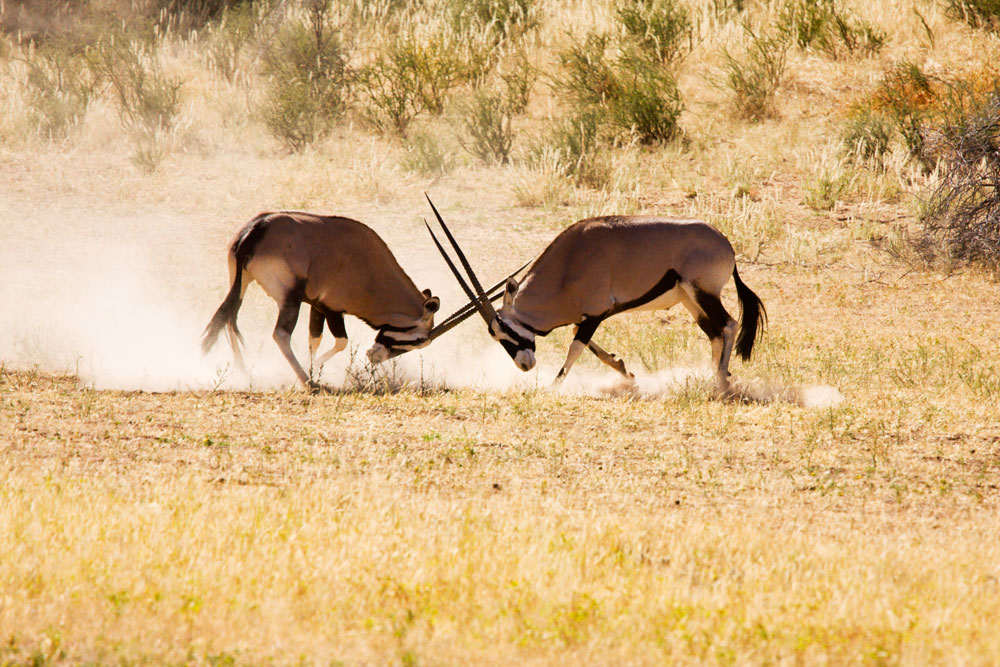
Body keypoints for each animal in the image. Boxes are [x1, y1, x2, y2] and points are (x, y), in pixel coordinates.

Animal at [201, 210, 494, 392]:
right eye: (419, 339)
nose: (375, 356)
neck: (368, 267)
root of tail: (256, 229)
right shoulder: (332, 307)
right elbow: (340, 342)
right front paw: (313, 373)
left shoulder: (316, 305)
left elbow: (314, 339)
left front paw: (313, 367)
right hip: (289, 298)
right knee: (280, 334)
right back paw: (310, 384)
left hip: (241, 284)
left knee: (230, 319)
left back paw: (243, 371)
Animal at [424, 196, 764, 394]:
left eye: (505, 330)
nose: (525, 365)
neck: (568, 263)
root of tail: (725, 243)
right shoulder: (587, 316)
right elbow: (587, 343)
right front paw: (625, 371)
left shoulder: (596, 312)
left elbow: (575, 347)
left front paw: (553, 386)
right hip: (690, 301)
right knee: (715, 333)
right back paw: (716, 377)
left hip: (701, 293)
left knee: (729, 325)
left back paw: (721, 382)